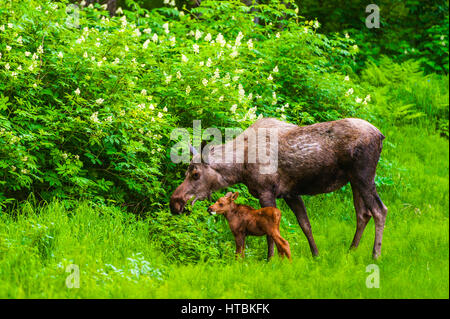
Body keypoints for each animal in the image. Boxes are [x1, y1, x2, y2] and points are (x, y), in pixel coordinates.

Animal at [171, 117, 388, 260]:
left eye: (195, 174)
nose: (175, 202)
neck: (240, 167)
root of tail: (380, 135)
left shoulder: (267, 191)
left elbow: (270, 232)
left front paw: (270, 260)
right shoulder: (290, 193)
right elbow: (305, 224)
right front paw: (316, 255)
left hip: (363, 176)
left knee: (380, 210)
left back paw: (375, 255)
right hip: (354, 180)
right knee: (363, 214)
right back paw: (351, 250)